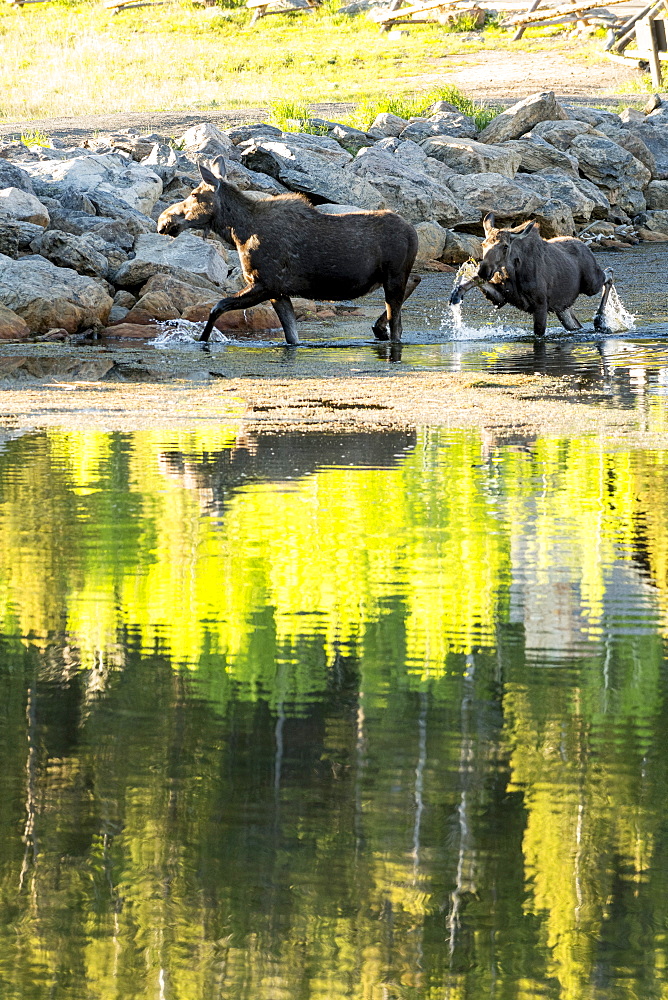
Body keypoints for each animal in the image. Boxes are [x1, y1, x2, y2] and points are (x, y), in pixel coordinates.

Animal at [155, 155, 422, 344]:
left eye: (194, 194)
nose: (163, 220)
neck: (237, 233)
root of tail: (413, 232)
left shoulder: (265, 283)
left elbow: (216, 307)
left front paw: (201, 339)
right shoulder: (279, 291)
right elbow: (292, 337)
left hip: (394, 275)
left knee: (398, 323)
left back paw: (383, 328)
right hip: (392, 276)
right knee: (414, 282)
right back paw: (378, 327)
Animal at [452, 212, 612, 340]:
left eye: (505, 246)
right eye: (483, 244)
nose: (484, 270)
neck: (513, 273)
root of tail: (585, 245)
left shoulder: (540, 304)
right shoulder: (500, 298)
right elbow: (475, 280)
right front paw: (457, 293)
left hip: (590, 284)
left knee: (609, 273)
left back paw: (600, 320)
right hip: (563, 307)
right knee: (576, 325)